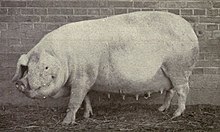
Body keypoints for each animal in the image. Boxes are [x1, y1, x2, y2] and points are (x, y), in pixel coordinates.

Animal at [11, 11, 199, 124]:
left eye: (46, 67)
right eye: (27, 67)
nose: (20, 83)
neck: (65, 58)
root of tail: (191, 30)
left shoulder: (82, 78)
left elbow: (74, 101)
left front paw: (66, 123)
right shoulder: (86, 80)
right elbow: (86, 98)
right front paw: (87, 115)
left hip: (178, 68)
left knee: (183, 90)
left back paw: (176, 114)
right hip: (170, 73)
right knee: (171, 91)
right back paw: (161, 109)